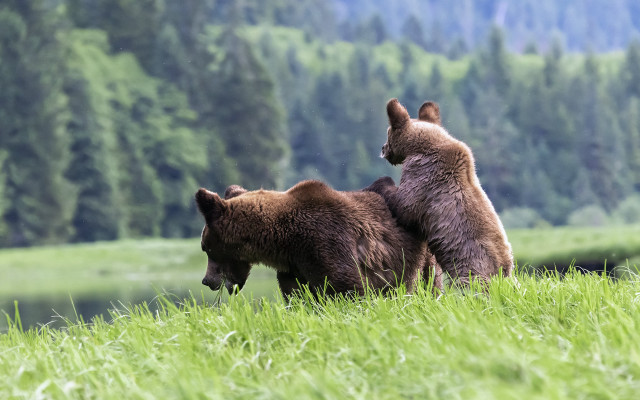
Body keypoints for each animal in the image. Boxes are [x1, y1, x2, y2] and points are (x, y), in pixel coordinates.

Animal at [195, 179, 438, 298]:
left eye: (206, 248)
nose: (206, 280)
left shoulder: (328, 243)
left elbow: (349, 290)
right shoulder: (295, 268)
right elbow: (298, 297)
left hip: (420, 255)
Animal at [380, 98, 514, 285]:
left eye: (388, 133)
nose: (383, 149)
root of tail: (504, 269)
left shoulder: (423, 179)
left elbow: (404, 207)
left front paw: (383, 183)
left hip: (472, 264)